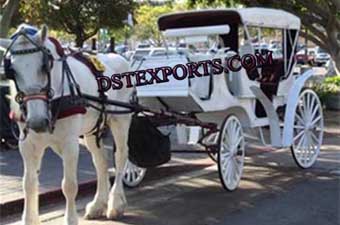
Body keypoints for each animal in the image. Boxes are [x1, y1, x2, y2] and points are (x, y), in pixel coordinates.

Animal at [0, 25, 133, 225]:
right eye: (12, 71)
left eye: (44, 66)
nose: (37, 121)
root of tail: (120, 58)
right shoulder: (28, 145)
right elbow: (29, 184)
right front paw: (29, 219)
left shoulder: (70, 143)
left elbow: (69, 185)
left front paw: (71, 219)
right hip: (92, 129)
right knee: (101, 160)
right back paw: (98, 204)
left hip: (120, 120)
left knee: (120, 157)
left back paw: (115, 204)